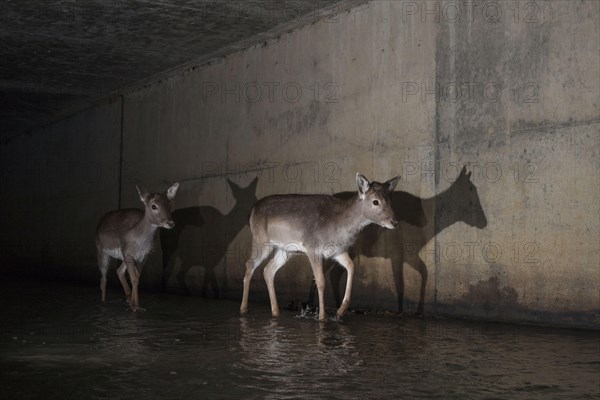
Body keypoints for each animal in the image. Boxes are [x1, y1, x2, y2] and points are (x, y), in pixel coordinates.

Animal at [238, 173, 398, 320]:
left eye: (390, 199)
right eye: (375, 201)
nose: (394, 222)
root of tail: (251, 211)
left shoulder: (337, 251)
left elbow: (351, 266)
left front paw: (340, 312)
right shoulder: (312, 247)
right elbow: (320, 281)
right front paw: (322, 317)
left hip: (286, 250)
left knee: (268, 270)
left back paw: (275, 312)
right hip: (261, 240)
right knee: (250, 264)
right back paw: (244, 309)